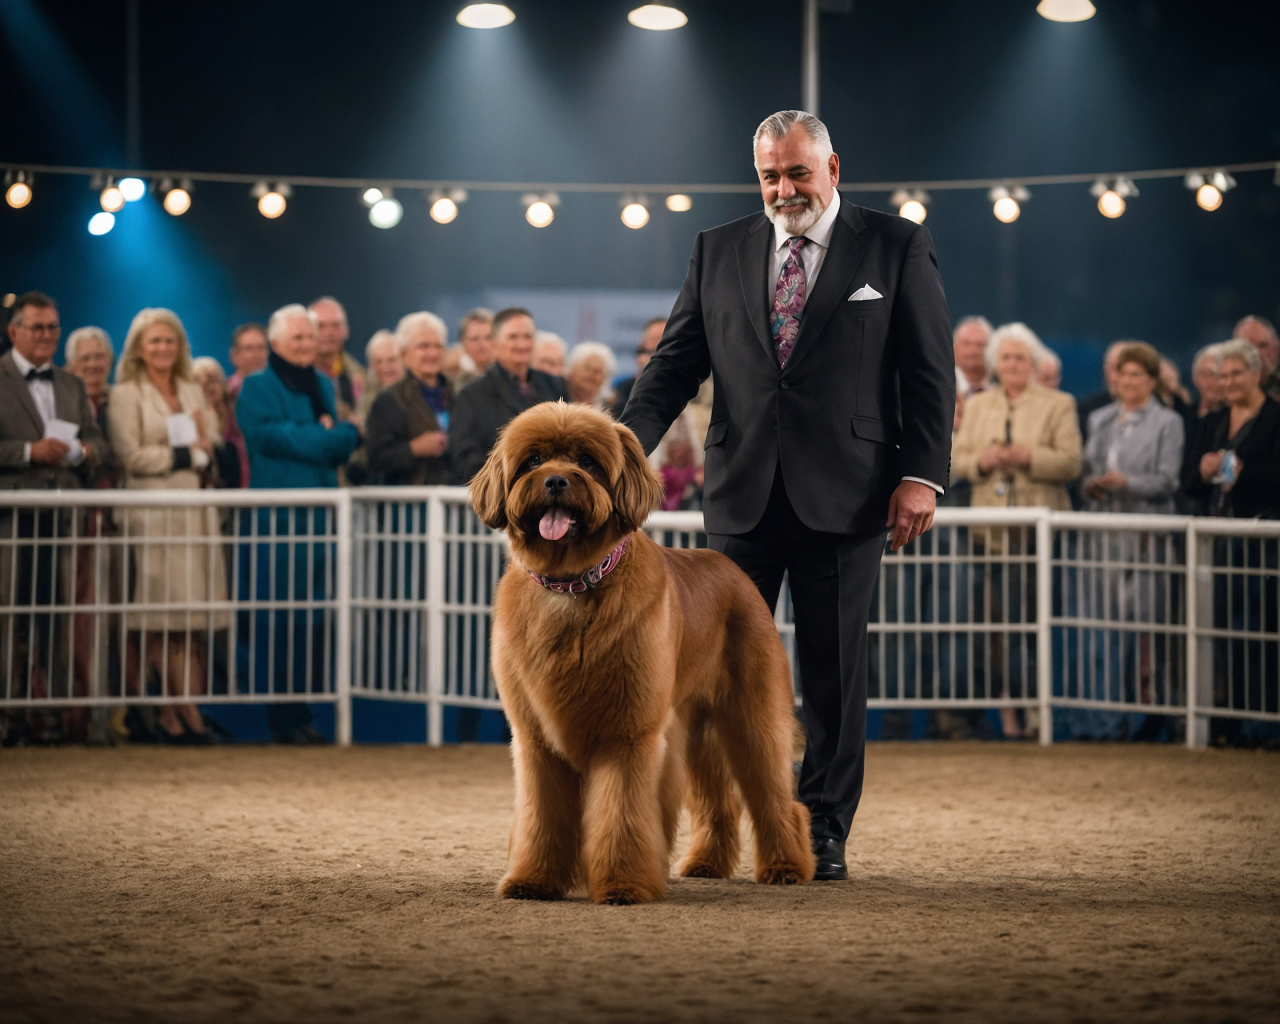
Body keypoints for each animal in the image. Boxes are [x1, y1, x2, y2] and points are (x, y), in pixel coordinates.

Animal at [468, 399, 808, 906]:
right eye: (533, 461)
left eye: (587, 461)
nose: (556, 480)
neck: (573, 585)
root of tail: (732, 571)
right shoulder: (536, 742)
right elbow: (541, 816)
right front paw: (533, 880)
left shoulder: (628, 735)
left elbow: (621, 816)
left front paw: (623, 885)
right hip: (694, 729)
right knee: (718, 803)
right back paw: (706, 864)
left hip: (752, 717)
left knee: (774, 797)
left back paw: (786, 868)